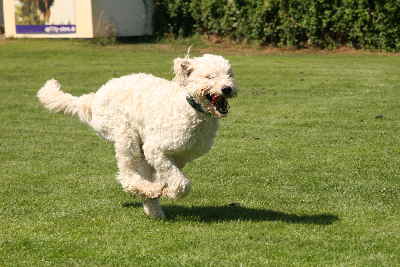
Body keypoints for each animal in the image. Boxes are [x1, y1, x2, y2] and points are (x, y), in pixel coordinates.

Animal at [37, 53, 236, 219]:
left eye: (230, 75)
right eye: (210, 76)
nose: (227, 89)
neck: (191, 109)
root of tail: (94, 98)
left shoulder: (180, 156)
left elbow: (170, 174)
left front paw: (163, 191)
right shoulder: (155, 149)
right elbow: (181, 182)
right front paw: (169, 191)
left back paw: (152, 207)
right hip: (126, 135)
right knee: (127, 176)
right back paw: (150, 190)